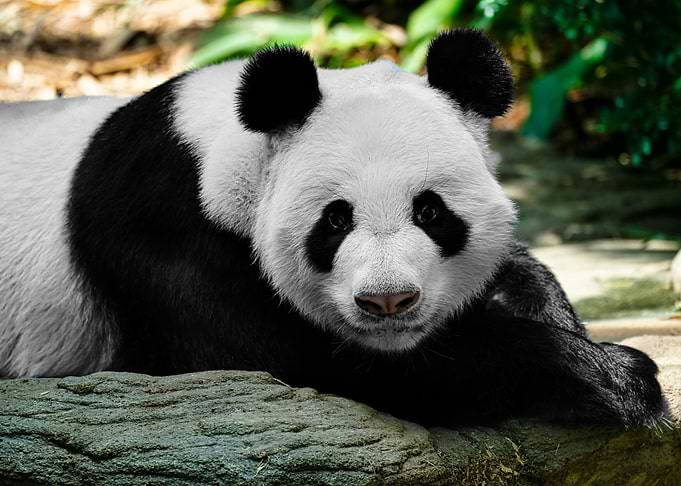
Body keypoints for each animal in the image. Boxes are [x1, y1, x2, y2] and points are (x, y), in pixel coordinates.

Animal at [0, 29, 666, 427]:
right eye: (336, 219)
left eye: (430, 212)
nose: (389, 302)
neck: (226, 153)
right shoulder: (165, 232)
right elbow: (307, 364)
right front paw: (612, 377)